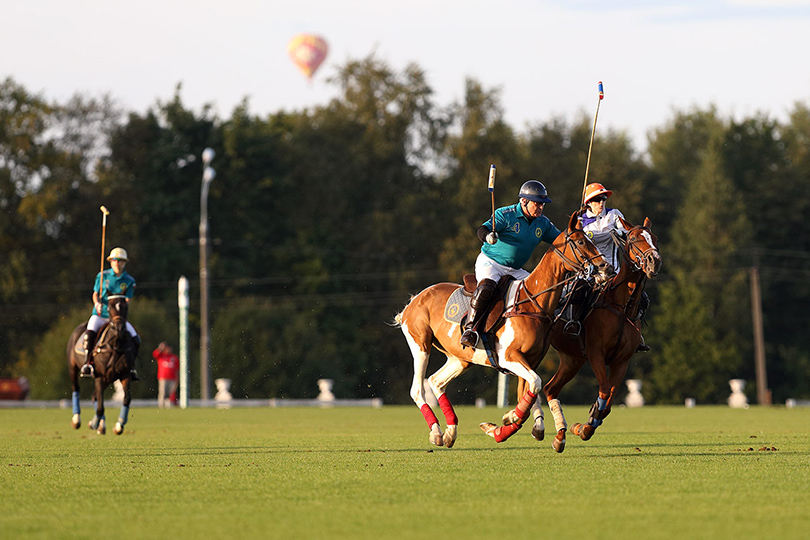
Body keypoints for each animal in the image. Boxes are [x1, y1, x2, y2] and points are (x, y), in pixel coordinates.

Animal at [67, 296, 137, 434]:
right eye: (109, 307)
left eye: (126, 307)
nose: (119, 329)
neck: (115, 345)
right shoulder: (100, 376)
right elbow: (100, 407)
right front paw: (93, 424)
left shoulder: (125, 374)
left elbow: (126, 398)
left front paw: (118, 426)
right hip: (73, 367)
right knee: (76, 388)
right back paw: (77, 420)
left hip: (109, 379)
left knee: (95, 396)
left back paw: (101, 425)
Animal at [394, 213, 608, 450]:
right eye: (580, 242)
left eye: (590, 239)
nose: (604, 267)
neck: (533, 304)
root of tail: (414, 300)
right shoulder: (509, 357)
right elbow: (535, 385)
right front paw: (509, 420)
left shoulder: (530, 360)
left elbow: (530, 394)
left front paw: (510, 424)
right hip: (420, 344)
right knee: (417, 389)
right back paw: (436, 431)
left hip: (461, 358)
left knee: (436, 381)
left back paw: (450, 432)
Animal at [512, 217, 664, 440]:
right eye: (635, 238)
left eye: (655, 238)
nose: (655, 261)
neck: (622, 306)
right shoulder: (595, 353)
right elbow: (604, 390)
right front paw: (585, 426)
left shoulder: (622, 360)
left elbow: (608, 402)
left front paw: (585, 424)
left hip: (572, 358)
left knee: (550, 387)